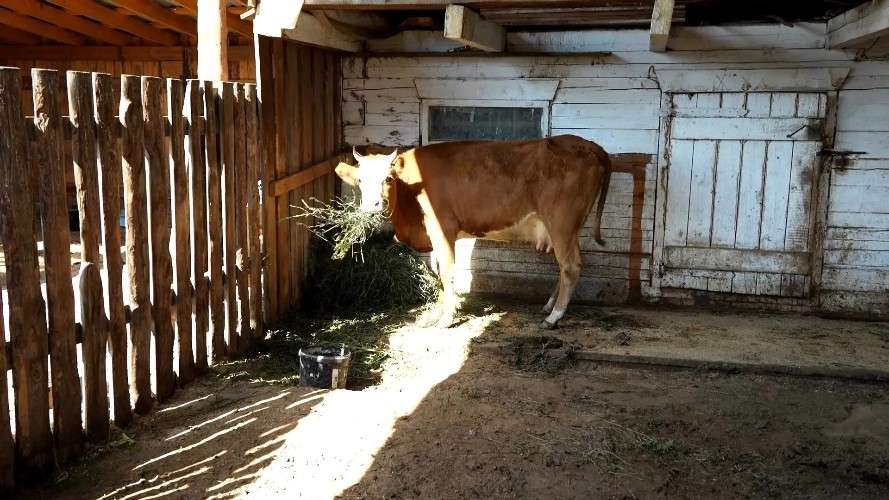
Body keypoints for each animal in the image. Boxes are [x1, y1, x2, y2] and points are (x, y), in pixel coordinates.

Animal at [335, 134, 612, 329]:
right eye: (360, 180)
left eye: (388, 179)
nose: (372, 206)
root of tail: (589, 145)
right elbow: (439, 269)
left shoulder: (442, 228)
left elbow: (447, 271)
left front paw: (446, 318)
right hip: (570, 227)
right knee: (566, 266)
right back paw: (549, 307)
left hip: (561, 223)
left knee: (571, 265)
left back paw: (554, 317)